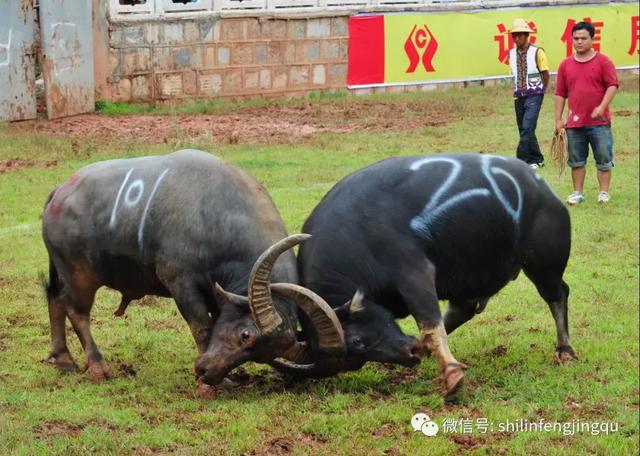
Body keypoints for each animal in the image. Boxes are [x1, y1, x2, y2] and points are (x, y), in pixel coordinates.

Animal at [42, 149, 342, 388]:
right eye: (246, 335)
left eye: (262, 357)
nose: (208, 372)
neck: (218, 218)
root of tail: (59, 192)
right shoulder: (181, 283)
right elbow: (202, 328)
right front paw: (209, 385)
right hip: (79, 275)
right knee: (76, 311)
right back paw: (97, 366)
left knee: (55, 298)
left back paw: (63, 359)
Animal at [276, 153, 576, 396]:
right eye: (354, 360)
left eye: (357, 342)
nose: (409, 354)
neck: (353, 235)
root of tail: (543, 188)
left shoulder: (413, 273)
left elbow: (430, 324)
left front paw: (453, 377)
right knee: (463, 309)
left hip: (543, 264)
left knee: (557, 294)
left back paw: (565, 350)